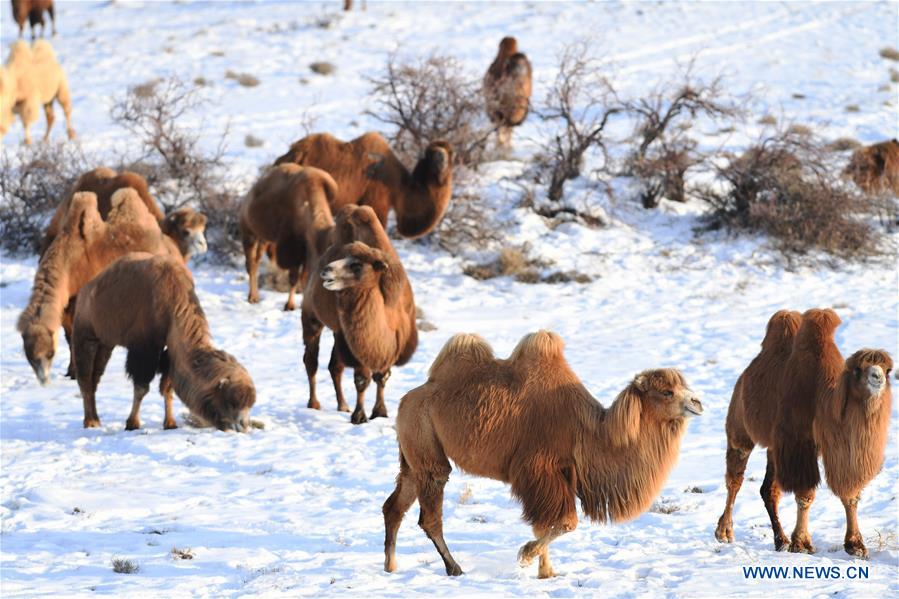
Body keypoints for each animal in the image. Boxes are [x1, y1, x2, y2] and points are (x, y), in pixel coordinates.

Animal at [17, 189, 181, 386]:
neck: (69, 263)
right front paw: (70, 371)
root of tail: (169, 246)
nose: (43, 380)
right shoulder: (67, 307)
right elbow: (69, 337)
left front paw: (77, 373)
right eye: (30, 357)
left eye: (50, 354)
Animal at [73, 252, 256, 431]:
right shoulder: (145, 348)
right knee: (85, 377)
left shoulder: (170, 351)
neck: (172, 304)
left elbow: (167, 388)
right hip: (85, 334)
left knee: (96, 377)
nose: (243, 426)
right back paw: (90, 422)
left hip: (106, 344)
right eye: (231, 402)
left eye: (250, 404)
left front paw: (170, 423)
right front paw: (132, 423)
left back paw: (95, 419)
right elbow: (141, 387)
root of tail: (85, 292)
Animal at [239, 164, 337, 310]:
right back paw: (253, 297)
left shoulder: (305, 248)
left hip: (264, 238)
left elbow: (304, 277)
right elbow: (294, 277)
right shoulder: (293, 247)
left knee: (257, 260)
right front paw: (290, 305)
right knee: (251, 264)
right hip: (248, 232)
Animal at [301, 204, 416, 424]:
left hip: (338, 331)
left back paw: (342, 405)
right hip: (311, 315)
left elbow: (382, 376)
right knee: (311, 360)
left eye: (356, 265)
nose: (326, 271)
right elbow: (362, 378)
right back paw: (314, 403)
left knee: (334, 366)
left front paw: (380, 412)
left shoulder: (393, 341)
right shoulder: (357, 341)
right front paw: (360, 416)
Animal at [383, 330, 702, 578]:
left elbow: (543, 524)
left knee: (394, 505)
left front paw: (546, 572)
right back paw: (454, 567)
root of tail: (406, 400)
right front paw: (526, 556)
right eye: (667, 392)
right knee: (430, 511)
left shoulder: (554, 474)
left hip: (412, 456)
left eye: (683, 386)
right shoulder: (539, 469)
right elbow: (565, 522)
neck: (588, 431)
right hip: (426, 448)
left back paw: (390, 566)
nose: (697, 402)